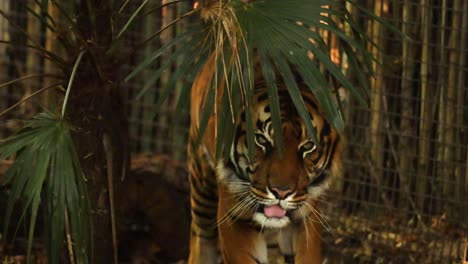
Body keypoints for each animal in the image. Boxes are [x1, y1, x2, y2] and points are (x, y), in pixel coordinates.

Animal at [186, 54, 344, 262]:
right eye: (262, 140)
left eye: (307, 146)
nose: (281, 193)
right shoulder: (233, 216)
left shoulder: (307, 215)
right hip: (201, 184)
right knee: (201, 237)